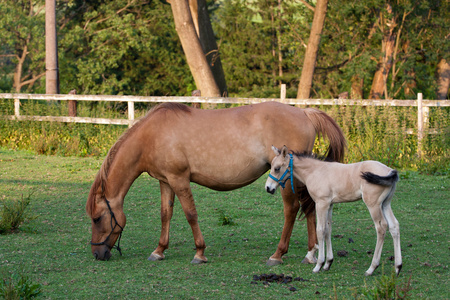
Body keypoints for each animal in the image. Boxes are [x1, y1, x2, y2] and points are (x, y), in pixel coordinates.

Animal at [85, 102, 344, 264]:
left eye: (97, 218)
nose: (97, 253)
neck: (152, 135)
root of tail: (304, 113)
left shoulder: (179, 179)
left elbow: (190, 214)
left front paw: (199, 253)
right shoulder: (165, 181)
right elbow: (165, 214)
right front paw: (159, 251)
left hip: (286, 180)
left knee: (291, 210)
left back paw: (278, 255)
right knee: (308, 208)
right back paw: (310, 254)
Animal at [266, 146, 402, 276]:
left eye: (277, 168)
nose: (268, 188)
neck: (315, 171)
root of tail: (389, 171)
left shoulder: (321, 203)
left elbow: (320, 231)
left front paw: (318, 265)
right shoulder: (330, 205)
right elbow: (328, 229)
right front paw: (328, 263)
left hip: (373, 205)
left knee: (381, 227)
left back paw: (372, 268)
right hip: (385, 204)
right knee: (394, 226)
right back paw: (397, 267)